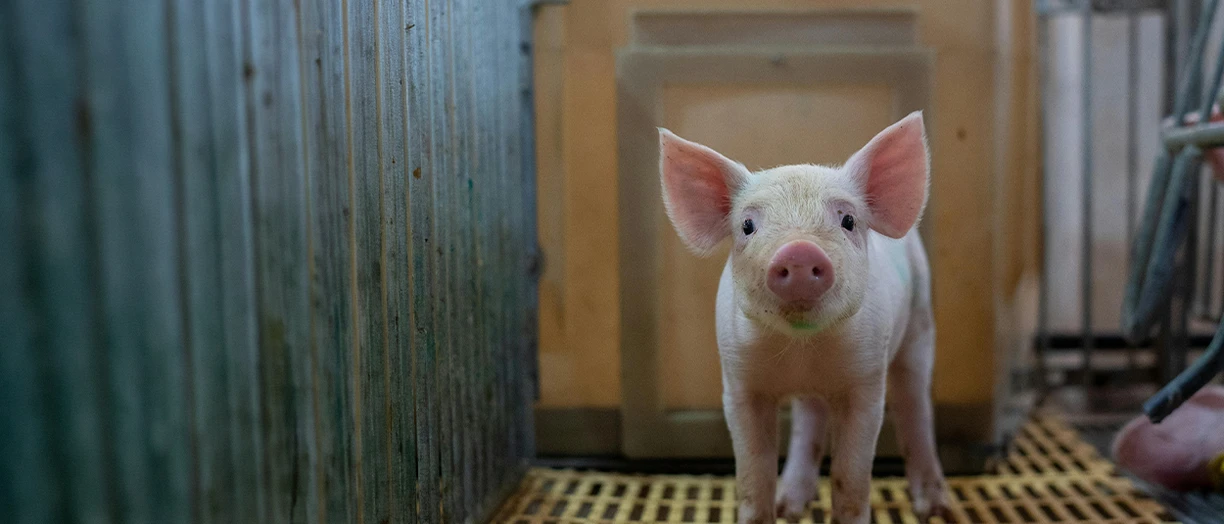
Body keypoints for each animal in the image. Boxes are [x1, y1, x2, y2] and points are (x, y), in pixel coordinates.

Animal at [658, 111, 948, 524]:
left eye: (847, 220)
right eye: (747, 226)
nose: (798, 251)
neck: (802, 349)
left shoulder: (866, 381)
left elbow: (851, 475)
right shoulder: (739, 382)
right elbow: (753, 475)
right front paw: (768, 508)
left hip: (921, 323)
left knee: (915, 405)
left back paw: (933, 508)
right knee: (810, 417)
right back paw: (790, 505)